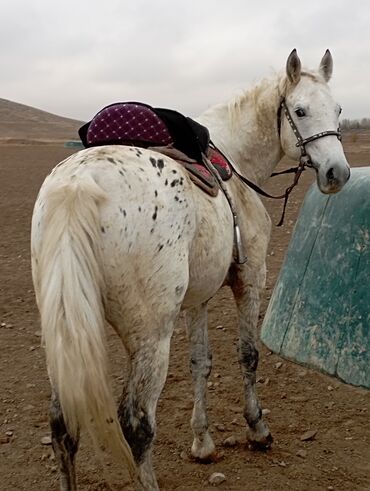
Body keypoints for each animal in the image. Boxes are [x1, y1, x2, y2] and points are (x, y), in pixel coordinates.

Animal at [31, 51, 350, 491]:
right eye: (300, 111)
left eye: (338, 109)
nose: (338, 173)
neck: (236, 162)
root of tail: (80, 184)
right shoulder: (250, 280)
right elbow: (248, 355)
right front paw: (257, 430)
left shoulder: (198, 297)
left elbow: (201, 361)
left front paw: (203, 442)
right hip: (150, 336)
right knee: (137, 426)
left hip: (63, 333)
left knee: (62, 427)